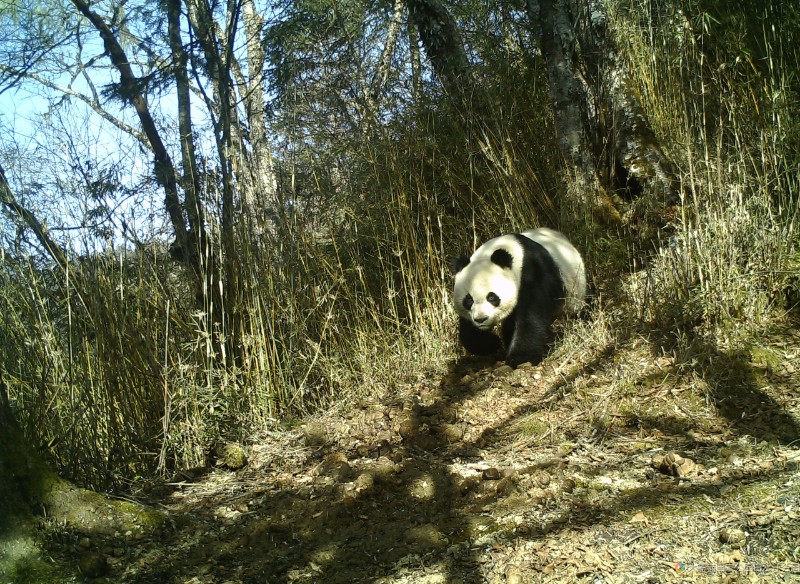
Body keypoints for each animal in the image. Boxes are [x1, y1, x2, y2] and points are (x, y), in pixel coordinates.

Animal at [450, 227, 588, 364]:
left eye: (491, 297)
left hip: (575, 288)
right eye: (469, 300)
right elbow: (468, 330)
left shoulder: (533, 272)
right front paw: (492, 343)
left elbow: (532, 315)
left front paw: (521, 357)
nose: (481, 319)